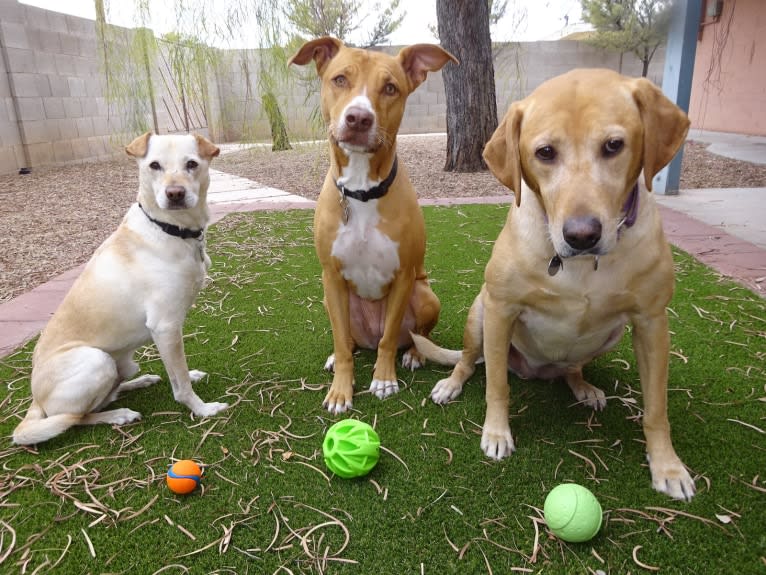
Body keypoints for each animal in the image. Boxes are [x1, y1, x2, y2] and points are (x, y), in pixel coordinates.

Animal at [12, 132, 228, 446]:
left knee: (109, 393)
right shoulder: (165, 327)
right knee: (75, 418)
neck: (169, 229)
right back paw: (119, 415)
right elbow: (181, 384)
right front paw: (201, 409)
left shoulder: (167, 334)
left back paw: (140, 382)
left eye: (191, 164)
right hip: (96, 360)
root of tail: (35, 402)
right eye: (154, 165)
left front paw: (189, 378)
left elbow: (178, 373)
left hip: (122, 364)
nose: (174, 193)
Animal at [288, 37, 456, 414]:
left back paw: (413, 354)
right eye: (339, 79)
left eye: (390, 87)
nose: (359, 117)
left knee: (413, 335)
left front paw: (383, 379)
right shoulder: (331, 276)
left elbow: (390, 336)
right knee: (347, 339)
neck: (362, 189)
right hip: (330, 300)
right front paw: (341, 390)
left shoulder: (404, 275)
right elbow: (339, 340)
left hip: (425, 295)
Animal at [416, 68, 700, 500]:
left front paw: (667, 466)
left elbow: (656, 408)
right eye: (545, 152)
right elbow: (496, 386)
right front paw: (496, 433)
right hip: (480, 315)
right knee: (469, 361)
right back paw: (452, 384)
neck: (581, 266)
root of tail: (536, 371)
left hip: (611, 335)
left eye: (614, 145)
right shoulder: (501, 309)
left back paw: (583, 387)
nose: (582, 235)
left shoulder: (652, 323)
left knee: (572, 368)